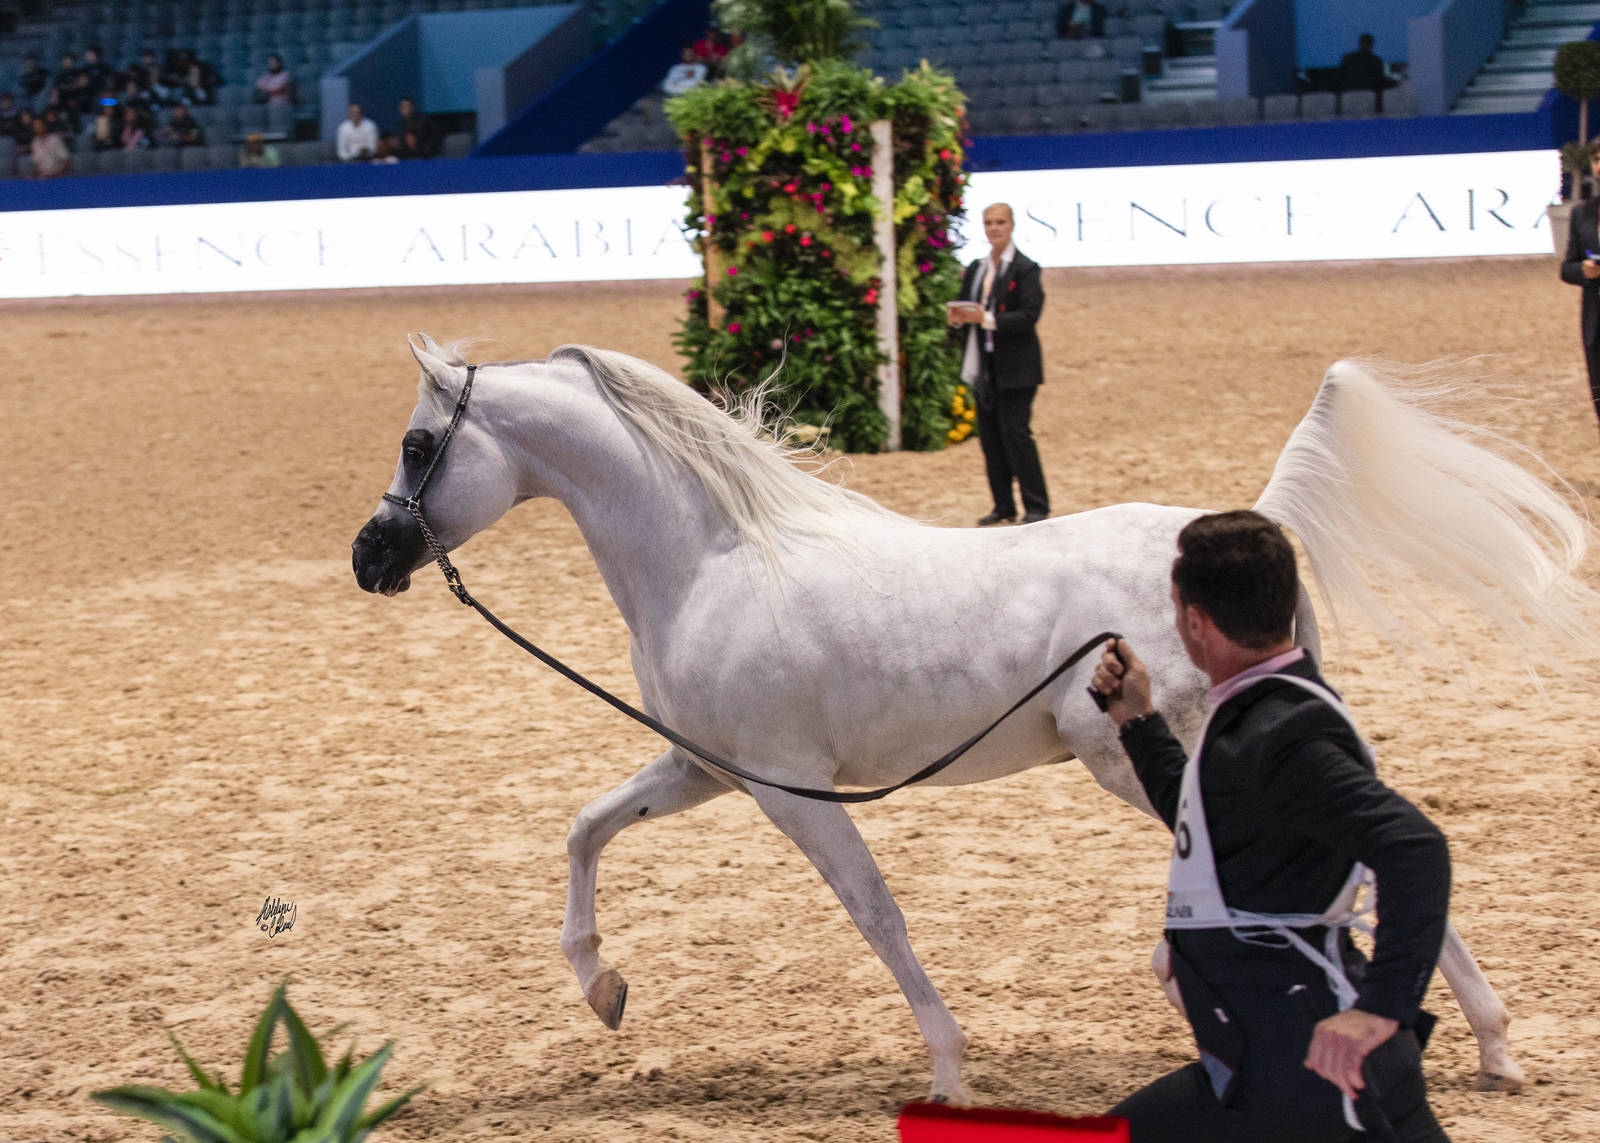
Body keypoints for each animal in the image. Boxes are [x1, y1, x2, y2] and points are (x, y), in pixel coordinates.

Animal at [352, 335, 1597, 1104]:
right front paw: (601, 988)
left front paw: (948, 1071)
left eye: (417, 444)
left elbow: (875, 913)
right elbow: (586, 828)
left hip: (1157, 762)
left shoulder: (787, 791)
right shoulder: (705, 769)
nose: (370, 557)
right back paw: (1485, 1046)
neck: (712, 558)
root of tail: (1232, 537)